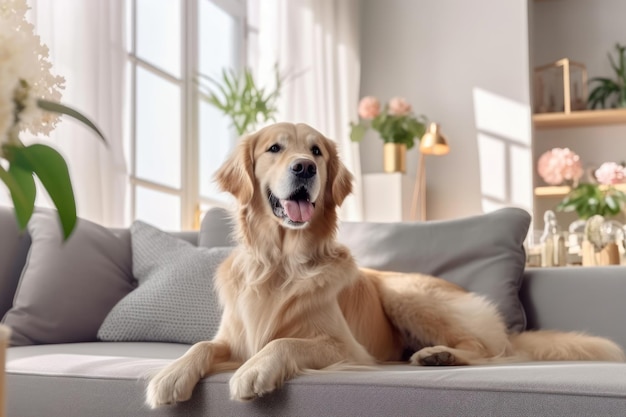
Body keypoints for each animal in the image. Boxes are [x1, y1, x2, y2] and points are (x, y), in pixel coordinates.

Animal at [145, 122, 620, 408]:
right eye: (274, 148)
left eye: (316, 151)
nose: (305, 168)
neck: (281, 264)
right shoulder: (232, 337)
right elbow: (202, 346)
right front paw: (170, 374)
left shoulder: (346, 348)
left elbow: (283, 342)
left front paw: (255, 369)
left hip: (406, 295)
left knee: (490, 350)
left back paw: (437, 355)